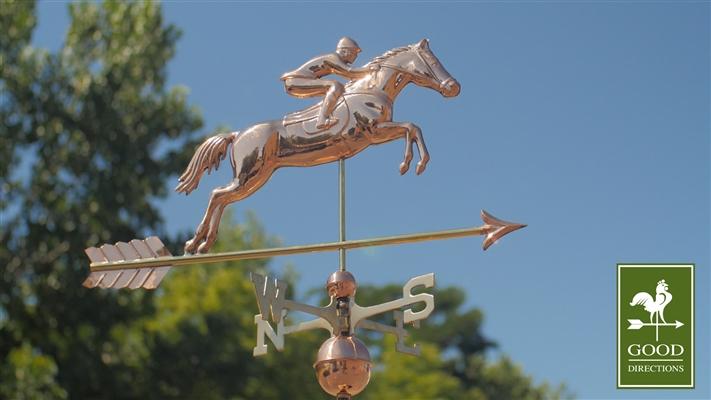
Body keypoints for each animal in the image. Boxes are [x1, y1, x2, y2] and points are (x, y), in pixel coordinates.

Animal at [178, 39, 462, 253]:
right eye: (433, 62)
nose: (454, 87)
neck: (373, 89)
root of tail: (237, 134)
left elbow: (413, 129)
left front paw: (414, 162)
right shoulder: (373, 132)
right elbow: (411, 127)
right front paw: (410, 164)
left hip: (256, 176)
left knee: (223, 200)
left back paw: (205, 244)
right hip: (249, 173)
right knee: (217, 195)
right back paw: (194, 242)